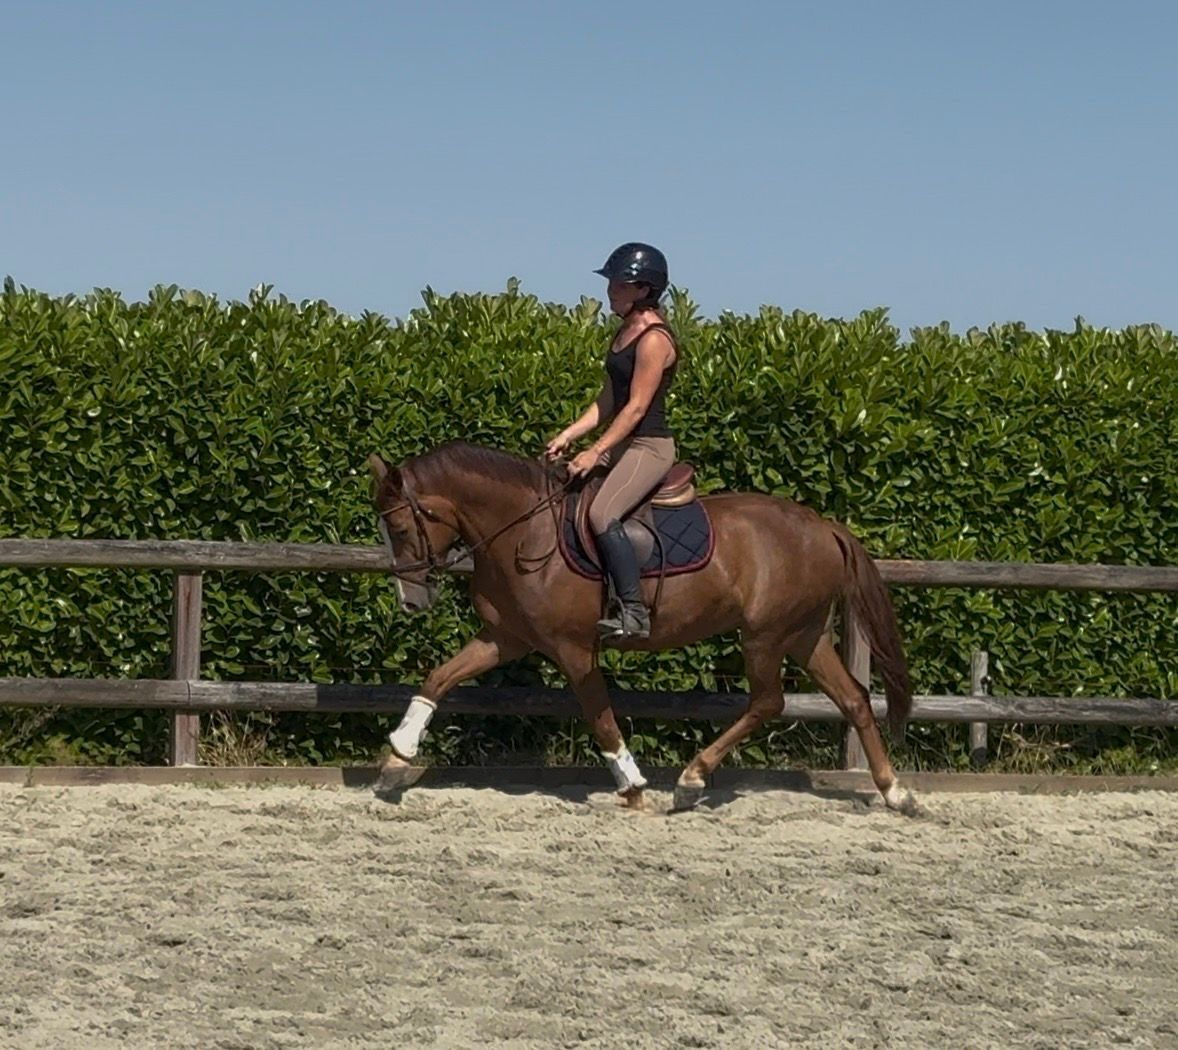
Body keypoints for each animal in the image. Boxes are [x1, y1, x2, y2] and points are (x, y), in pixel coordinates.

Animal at [368, 441, 916, 813]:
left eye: (399, 527)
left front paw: (631, 787)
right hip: (805, 635)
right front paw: (396, 758)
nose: (411, 601)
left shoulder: (573, 649)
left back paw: (691, 779)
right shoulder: (507, 638)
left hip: (766, 636)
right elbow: (440, 677)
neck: (525, 529)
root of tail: (824, 526)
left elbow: (601, 717)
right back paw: (894, 792)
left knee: (768, 702)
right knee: (853, 699)